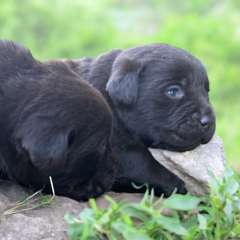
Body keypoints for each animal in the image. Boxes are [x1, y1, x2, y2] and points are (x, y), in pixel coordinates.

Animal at [68, 44, 216, 196]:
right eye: (173, 91)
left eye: (206, 91)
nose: (207, 121)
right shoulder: (117, 147)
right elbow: (143, 164)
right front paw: (178, 186)